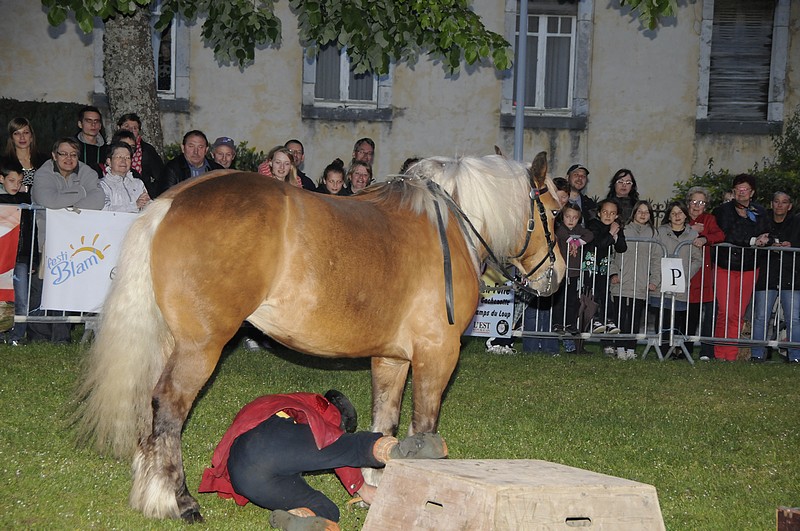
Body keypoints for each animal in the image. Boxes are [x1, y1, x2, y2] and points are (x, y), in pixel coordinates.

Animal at [73, 153, 565, 522]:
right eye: (557, 211)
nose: (557, 276)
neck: (449, 226)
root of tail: (173, 201)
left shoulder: (392, 360)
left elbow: (383, 424)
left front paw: (378, 487)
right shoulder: (437, 355)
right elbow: (423, 431)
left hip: (168, 343)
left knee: (148, 405)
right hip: (201, 347)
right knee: (170, 406)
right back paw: (175, 499)